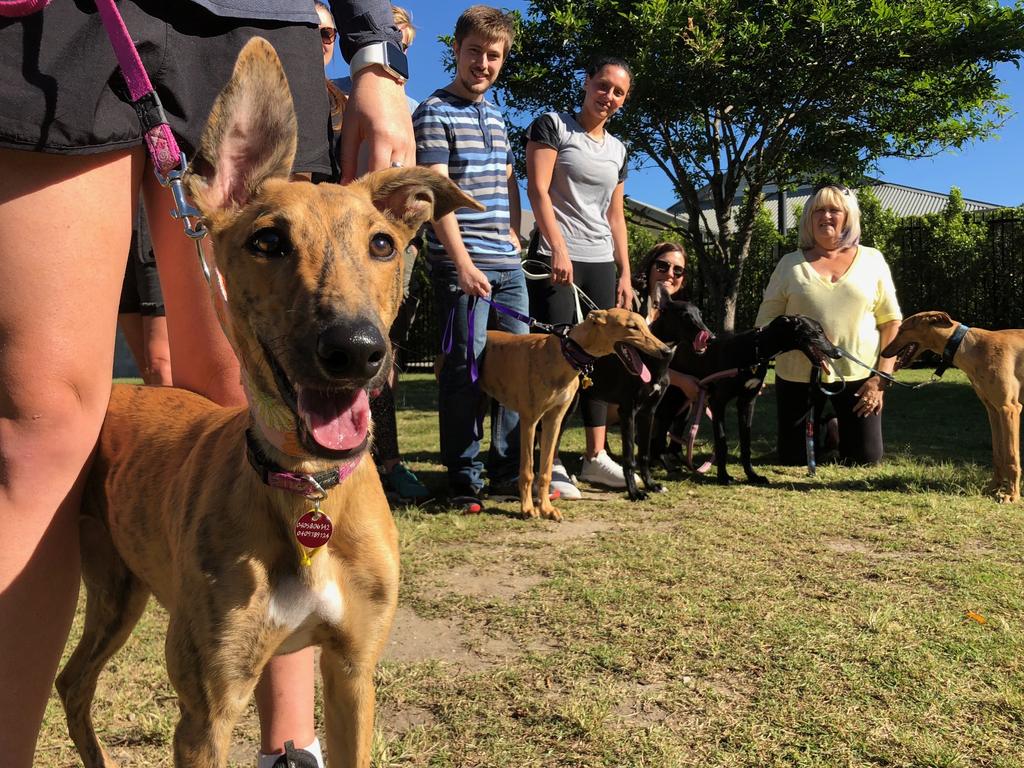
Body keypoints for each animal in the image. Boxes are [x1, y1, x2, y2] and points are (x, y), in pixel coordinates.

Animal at [58, 40, 479, 768]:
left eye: (382, 243)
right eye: (267, 241)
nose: (356, 350)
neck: (308, 492)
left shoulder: (352, 673)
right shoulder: (207, 708)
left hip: (120, 588)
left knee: (72, 679)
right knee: (69, 679)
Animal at [479, 309, 671, 520]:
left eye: (645, 325)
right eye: (632, 326)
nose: (666, 351)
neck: (564, 353)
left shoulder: (554, 418)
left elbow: (545, 470)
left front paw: (547, 509)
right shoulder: (529, 420)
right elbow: (528, 470)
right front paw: (528, 509)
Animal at [585, 286, 712, 501]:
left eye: (700, 315)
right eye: (685, 316)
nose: (710, 337)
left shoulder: (648, 413)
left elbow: (644, 453)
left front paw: (651, 484)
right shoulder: (628, 412)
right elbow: (630, 457)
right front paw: (634, 492)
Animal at [655, 313, 839, 483]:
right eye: (818, 331)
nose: (838, 352)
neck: (755, 350)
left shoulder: (747, 402)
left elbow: (746, 443)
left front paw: (752, 475)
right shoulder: (718, 402)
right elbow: (721, 443)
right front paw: (723, 477)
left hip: (686, 401)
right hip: (671, 400)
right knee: (659, 430)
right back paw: (665, 464)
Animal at [880, 313, 1024, 505]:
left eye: (902, 330)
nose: (882, 352)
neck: (971, 346)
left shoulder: (1009, 408)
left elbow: (1011, 456)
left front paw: (1012, 494)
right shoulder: (993, 410)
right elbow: (998, 455)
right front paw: (993, 488)